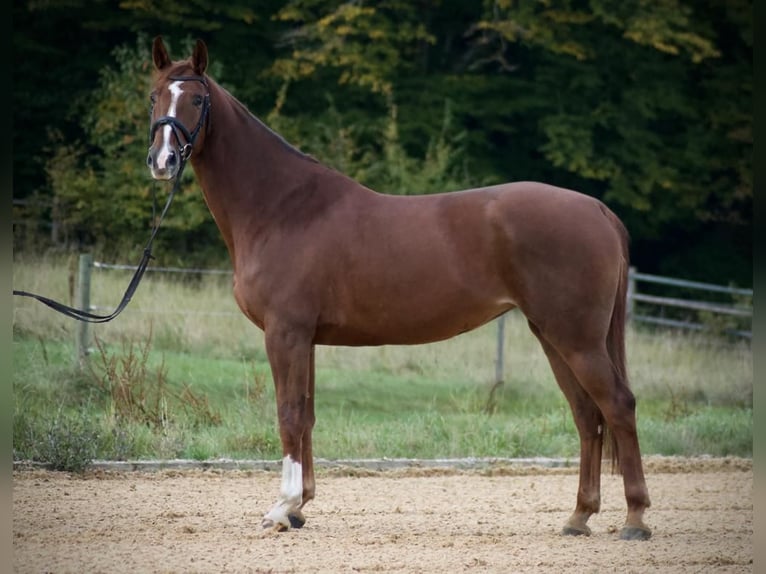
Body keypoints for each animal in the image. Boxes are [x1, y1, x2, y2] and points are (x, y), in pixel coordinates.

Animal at [146, 36, 651, 540]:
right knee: (587, 415)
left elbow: (288, 414)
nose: (162, 160)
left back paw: (635, 518)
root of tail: (598, 210)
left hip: (576, 338)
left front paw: (281, 508)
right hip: (552, 335)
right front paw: (300, 507)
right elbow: (306, 415)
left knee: (618, 405)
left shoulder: (285, 333)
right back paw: (579, 516)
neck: (282, 208)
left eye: (197, 100)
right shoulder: (305, 338)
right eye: (154, 97)